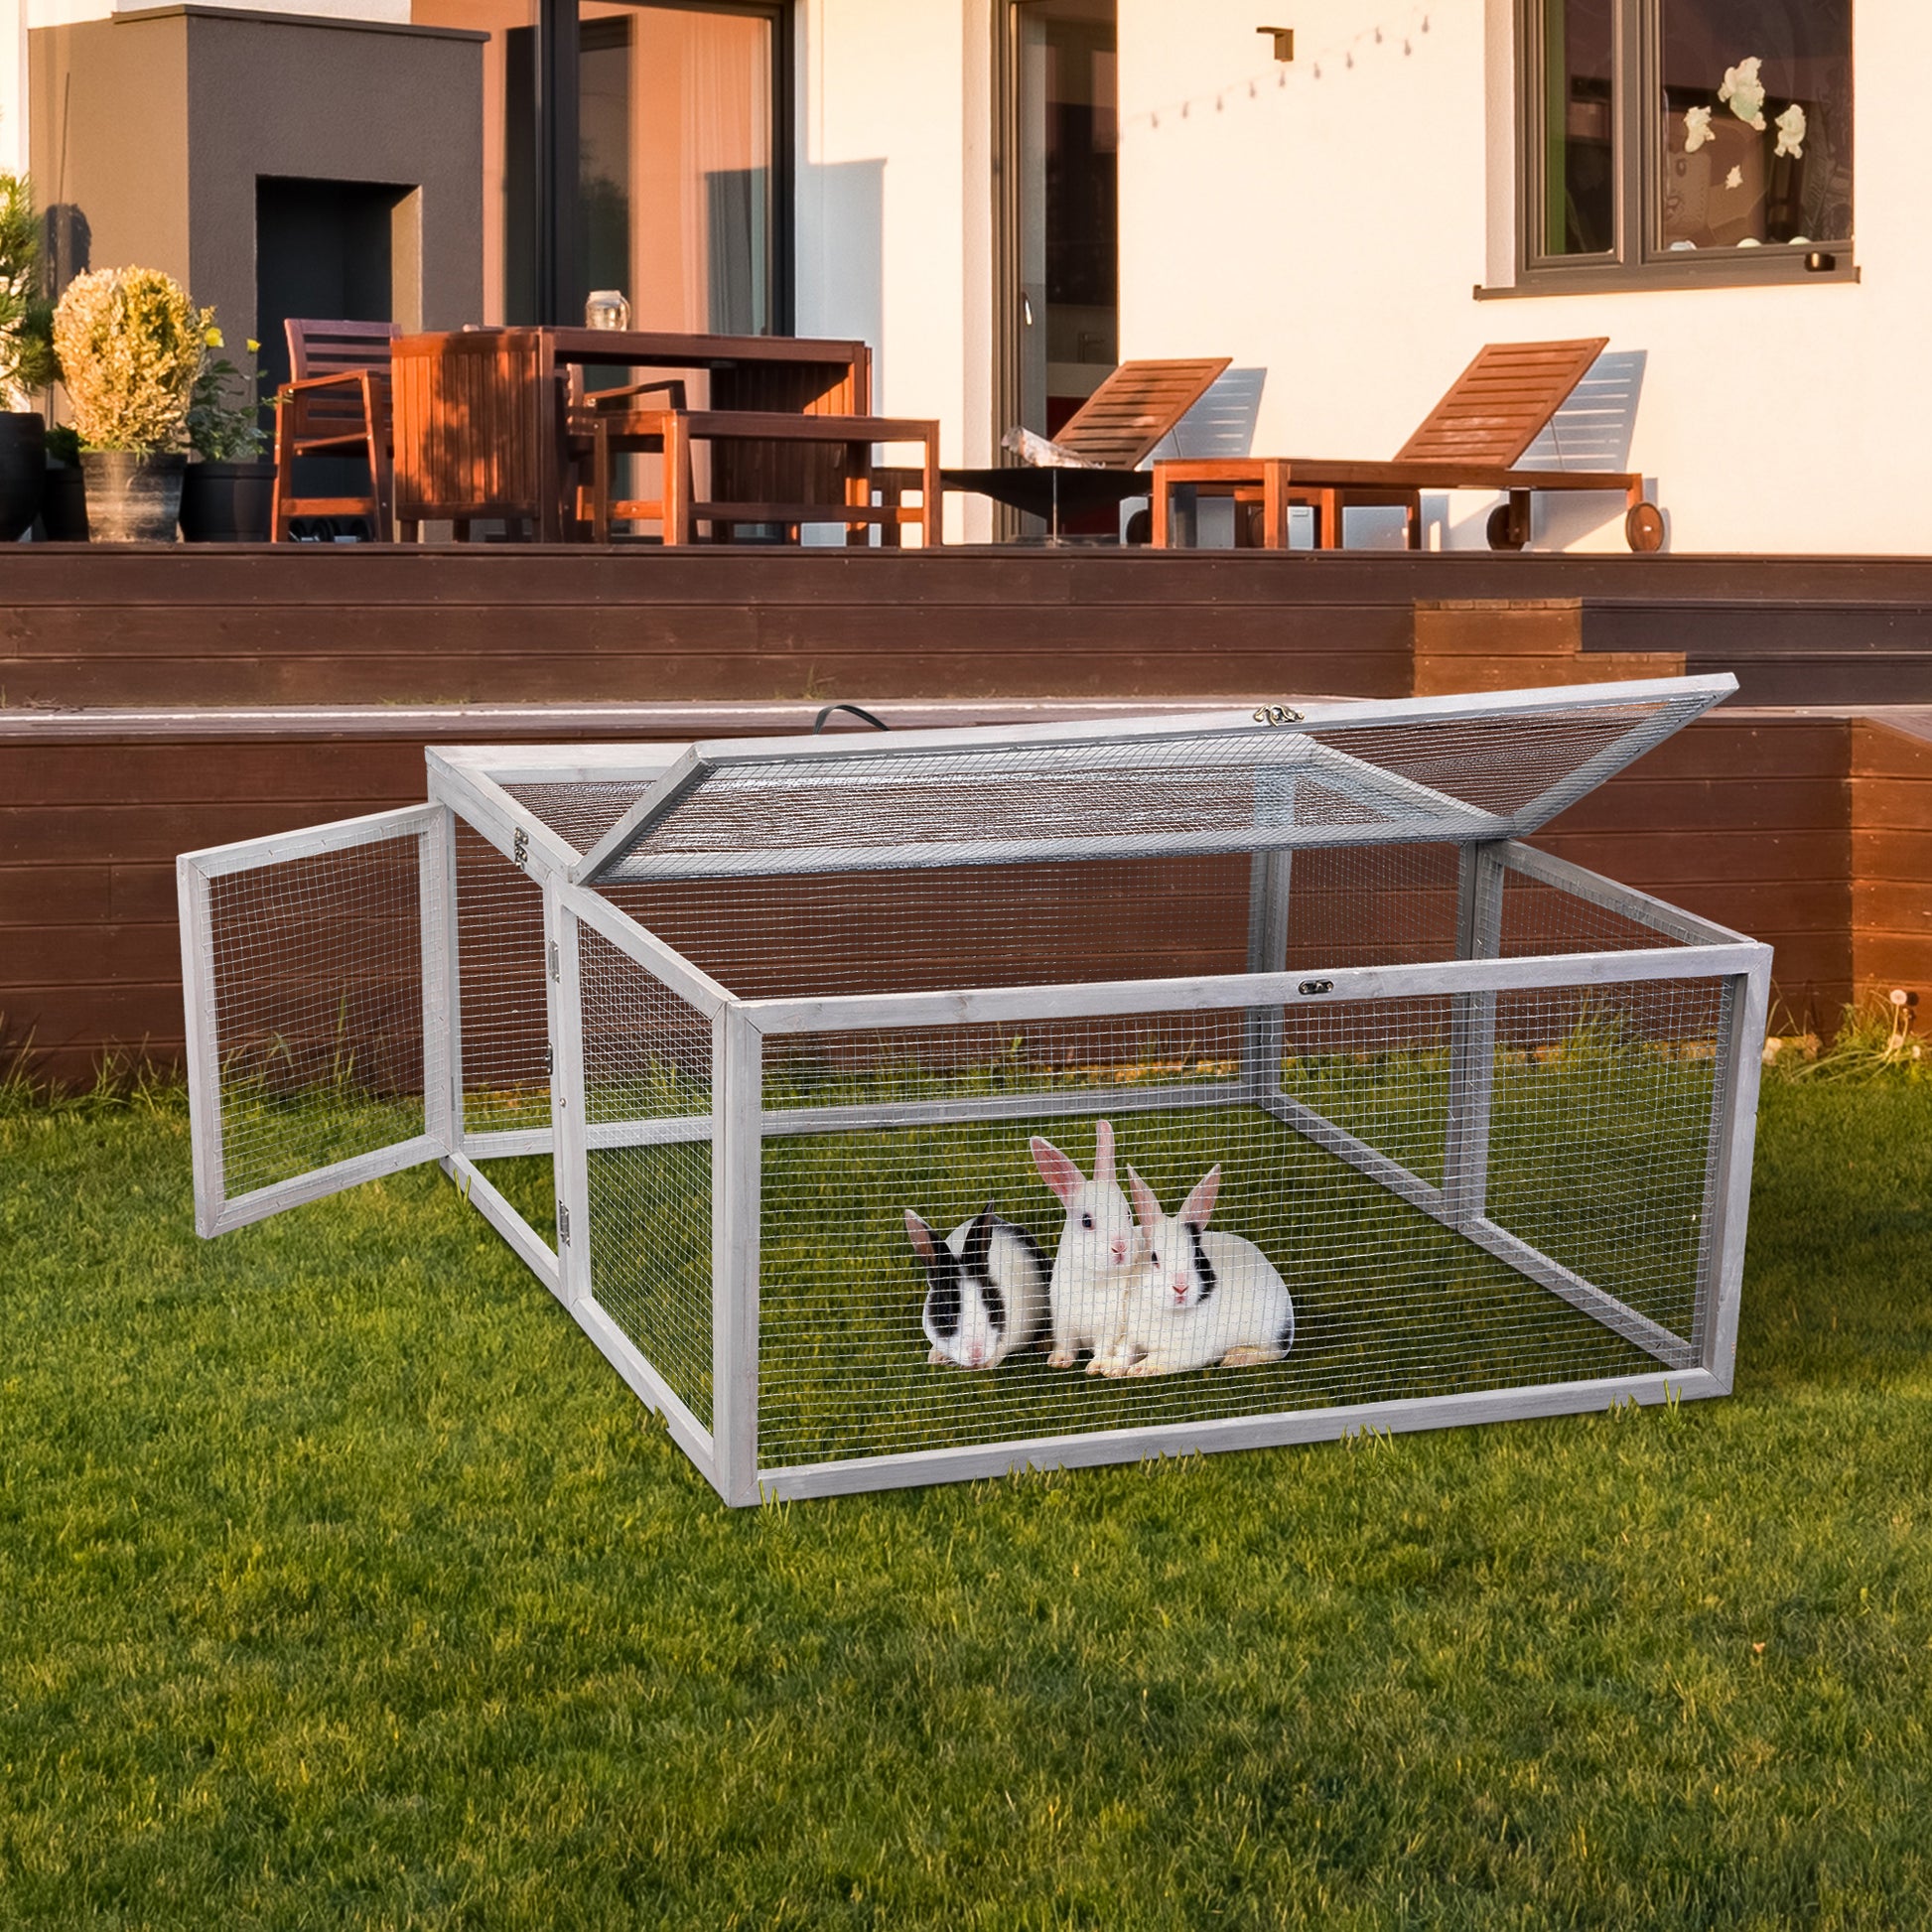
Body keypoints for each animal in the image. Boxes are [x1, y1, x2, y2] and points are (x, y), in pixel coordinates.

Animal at [1030, 1118, 1138, 1369]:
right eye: (1086, 1221)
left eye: (1128, 1214)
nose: (1120, 1247)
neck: (1093, 1279)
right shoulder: (1064, 1323)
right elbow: (1066, 1345)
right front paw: (1059, 1361)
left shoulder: (1110, 1327)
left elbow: (1104, 1347)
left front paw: (1097, 1366)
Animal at [1096, 1163, 1296, 1378]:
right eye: (1154, 1258)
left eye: (1198, 1258)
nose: (1180, 1288)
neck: (1168, 1312)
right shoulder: (1132, 1334)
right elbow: (1124, 1350)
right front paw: (1109, 1367)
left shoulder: (1186, 1353)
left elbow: (1159, 1358)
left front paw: (1140, 1368)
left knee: (1275, 1352)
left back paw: (1236, 1356)